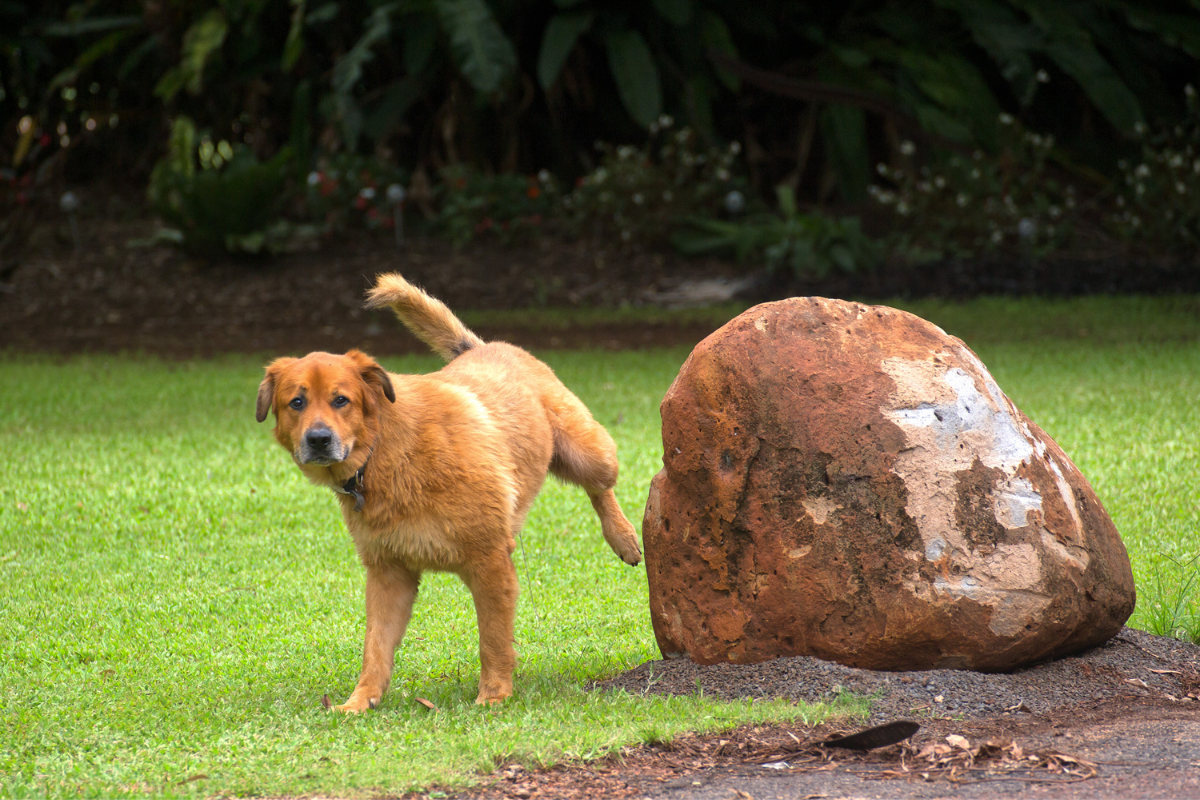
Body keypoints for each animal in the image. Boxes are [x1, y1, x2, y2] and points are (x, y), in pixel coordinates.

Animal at [256, 272, 643, 710]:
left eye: (341, 400)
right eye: (296, 402)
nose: (318, 439)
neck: (387, 452)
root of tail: (484, 346)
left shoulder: (491, 561)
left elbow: (493, 640)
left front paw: (493, 696)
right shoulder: (389, 574)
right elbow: (375, 648)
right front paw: (360, 701)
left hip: (587, 452)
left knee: (601, 488)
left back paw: (623, 537)